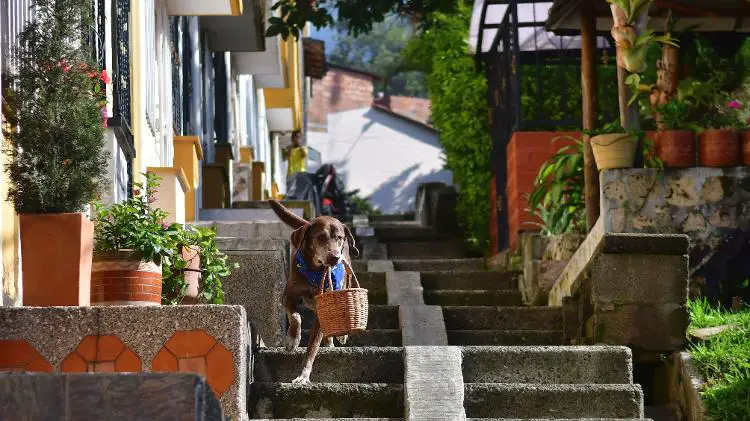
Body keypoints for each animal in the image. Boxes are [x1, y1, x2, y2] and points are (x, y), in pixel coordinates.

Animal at [268, 199, 360, 382]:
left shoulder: (321, 310)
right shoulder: (288, 294)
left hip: (345, 282)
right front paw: (292, 340)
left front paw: (303, 376)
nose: (335, 257)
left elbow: (312, 348)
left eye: (339, 238)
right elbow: (295, 317)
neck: (315, 270)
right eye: (321, 237)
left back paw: (339, 337)